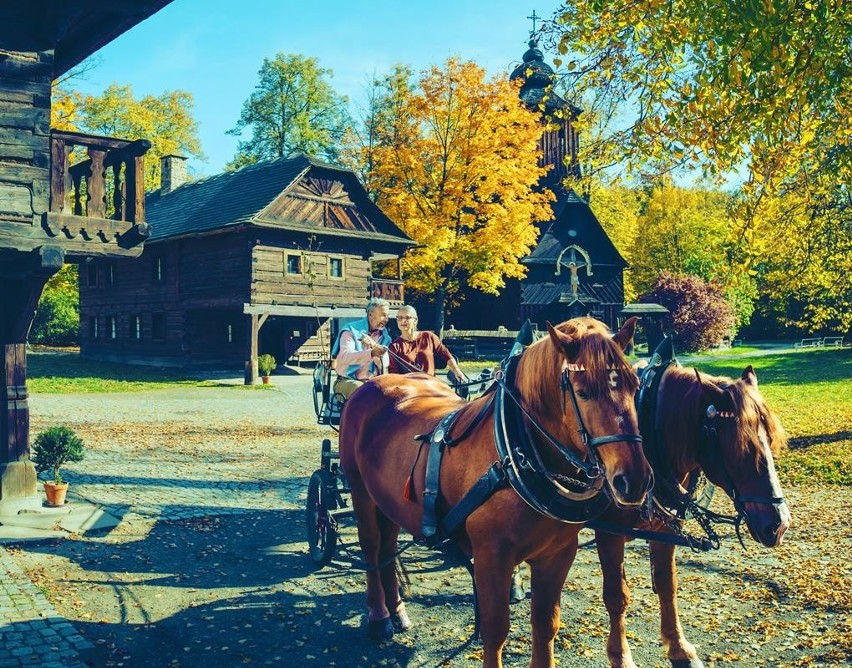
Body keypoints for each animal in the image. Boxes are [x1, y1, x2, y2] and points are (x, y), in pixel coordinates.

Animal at [338, 318, 652, 668]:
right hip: (359, 489)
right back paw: (379, 616)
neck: (515, 455)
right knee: (371, 545)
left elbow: (545, 624)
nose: (634, 480)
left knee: (388, 545)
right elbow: (495, 629)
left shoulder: (556, 554)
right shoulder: (492, 557)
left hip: (389, 500)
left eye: (635, 387)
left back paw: (397, 609)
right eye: (583, 392)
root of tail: (375, 383)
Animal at [592, 366, 792, 668]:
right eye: (741, 449)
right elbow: (617, 596)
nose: (778, 525)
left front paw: (679, 648)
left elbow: (667, 586)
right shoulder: (608, 532)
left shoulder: (664, 529)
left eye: (769, 440)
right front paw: (621, 656)